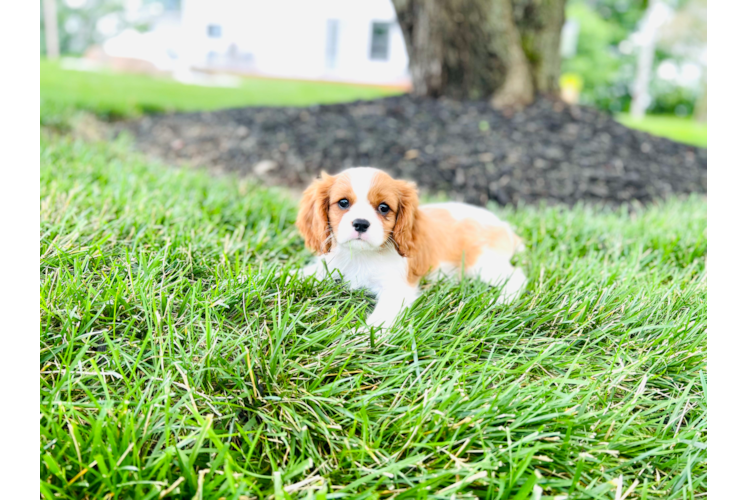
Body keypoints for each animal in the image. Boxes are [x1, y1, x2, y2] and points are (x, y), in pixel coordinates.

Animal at [296, 168, 524, 330]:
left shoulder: (397, 289)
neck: (361, 255)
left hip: (482, 262)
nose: (361, 224)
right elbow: (301, 274)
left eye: (384, 208)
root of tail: (504, 226)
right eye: (343, 202)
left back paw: (503, 299)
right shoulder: (326, 266)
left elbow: (382, 317)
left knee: (517, 275)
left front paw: (361, 337)